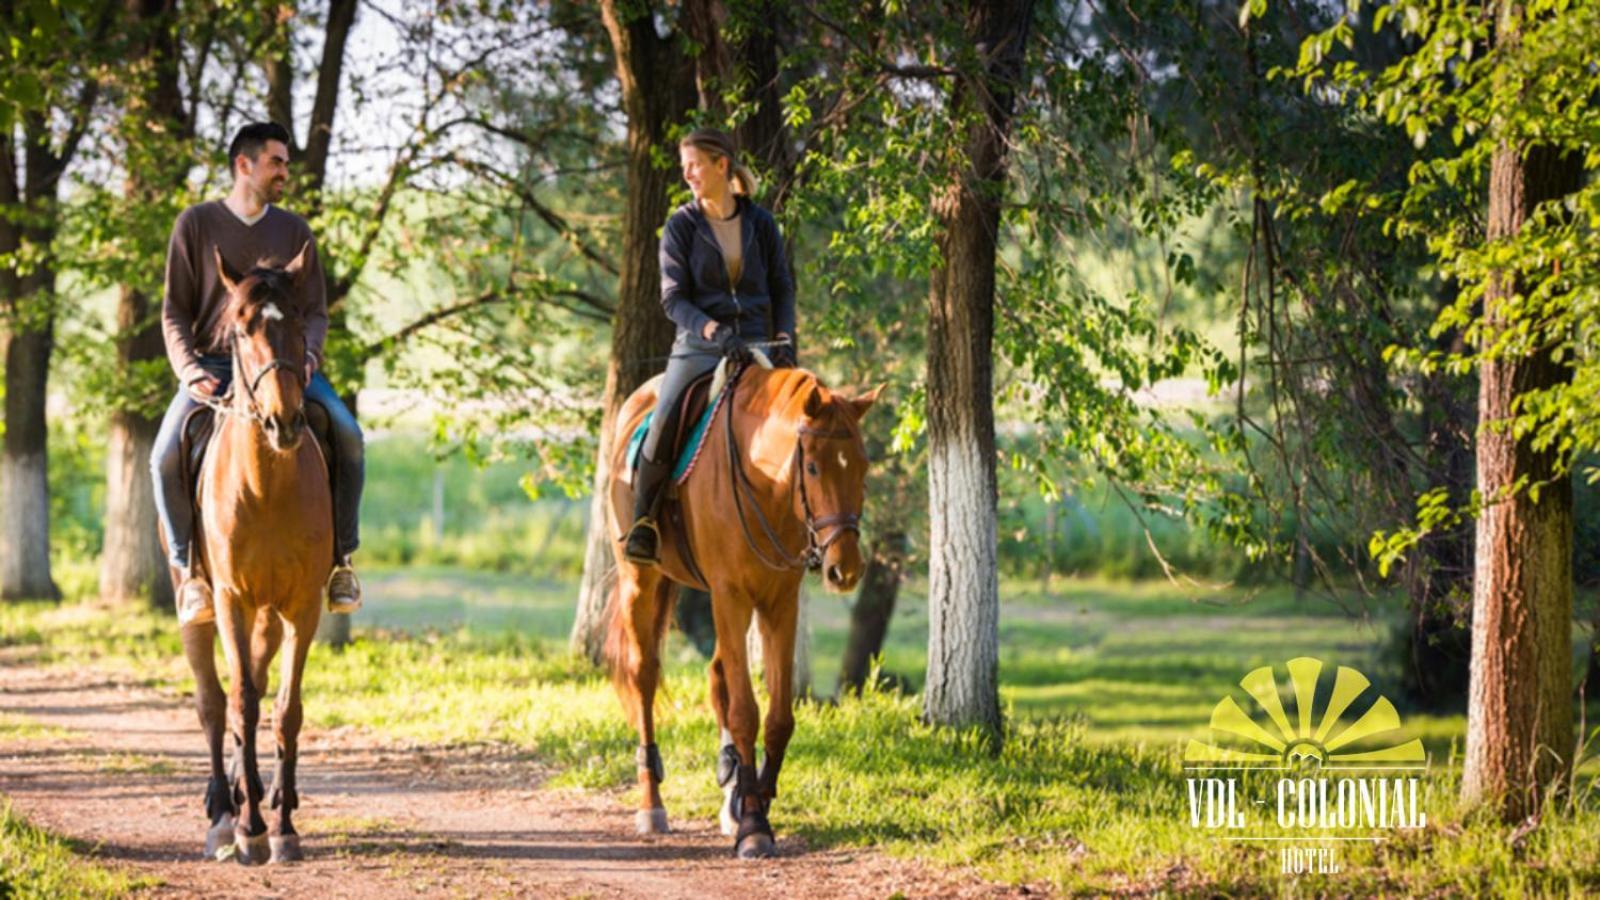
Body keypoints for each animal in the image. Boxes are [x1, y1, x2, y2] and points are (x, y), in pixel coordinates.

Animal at [176, 245, 332, 864]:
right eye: (241, 331)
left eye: (296, 323)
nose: (283, 421)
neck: (265, 486)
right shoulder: (231, 601)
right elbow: (238, 701)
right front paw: (248, 829)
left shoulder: (302, 608)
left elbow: (285, 708)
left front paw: (283, 826)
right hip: (200, 606)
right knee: (213, 703)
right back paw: (223, 809)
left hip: (269, 615)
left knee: (260, 687)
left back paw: (255, 791)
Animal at [604, 360, 883, 851]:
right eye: (813, 466)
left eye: (863, 467)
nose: (844, 570)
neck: (765, 483)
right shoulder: (730, 595)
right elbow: (745, 711)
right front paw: (753, 826)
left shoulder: (779, 603)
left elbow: (777, 717)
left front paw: (756, 800)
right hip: (640, 581)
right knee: (644, 677)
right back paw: (652, 805)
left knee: (718, 676)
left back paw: (731, 791)